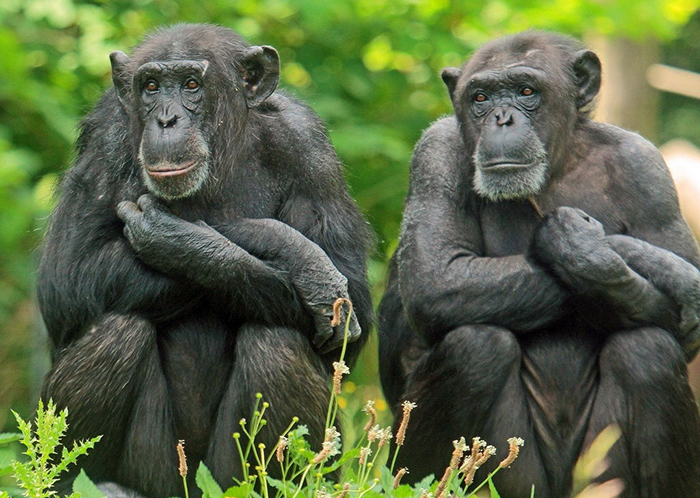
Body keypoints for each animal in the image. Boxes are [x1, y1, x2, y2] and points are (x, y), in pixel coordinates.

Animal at [37, 24, 372, 498]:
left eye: (192, 85)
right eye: (151, 86)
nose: (166, 119)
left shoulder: (310, 148)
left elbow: (351, 304)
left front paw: (189, 240)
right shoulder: (104, 138)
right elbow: (67, 279)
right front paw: (295, 254)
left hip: (229, 476)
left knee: (277, 344)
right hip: (158, 473)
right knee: (117, 334)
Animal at [378, 32, 700, 498]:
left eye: (527, 91)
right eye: (480, 97)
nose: (502, 118)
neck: (558, 166)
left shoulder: (648, 168)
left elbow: (684, 332)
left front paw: (586, 249)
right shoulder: (434, 154)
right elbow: (437, 279)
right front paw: (594, 246)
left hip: (595, 476)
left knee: (649, 351)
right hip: (511, 478)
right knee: (476, 347)